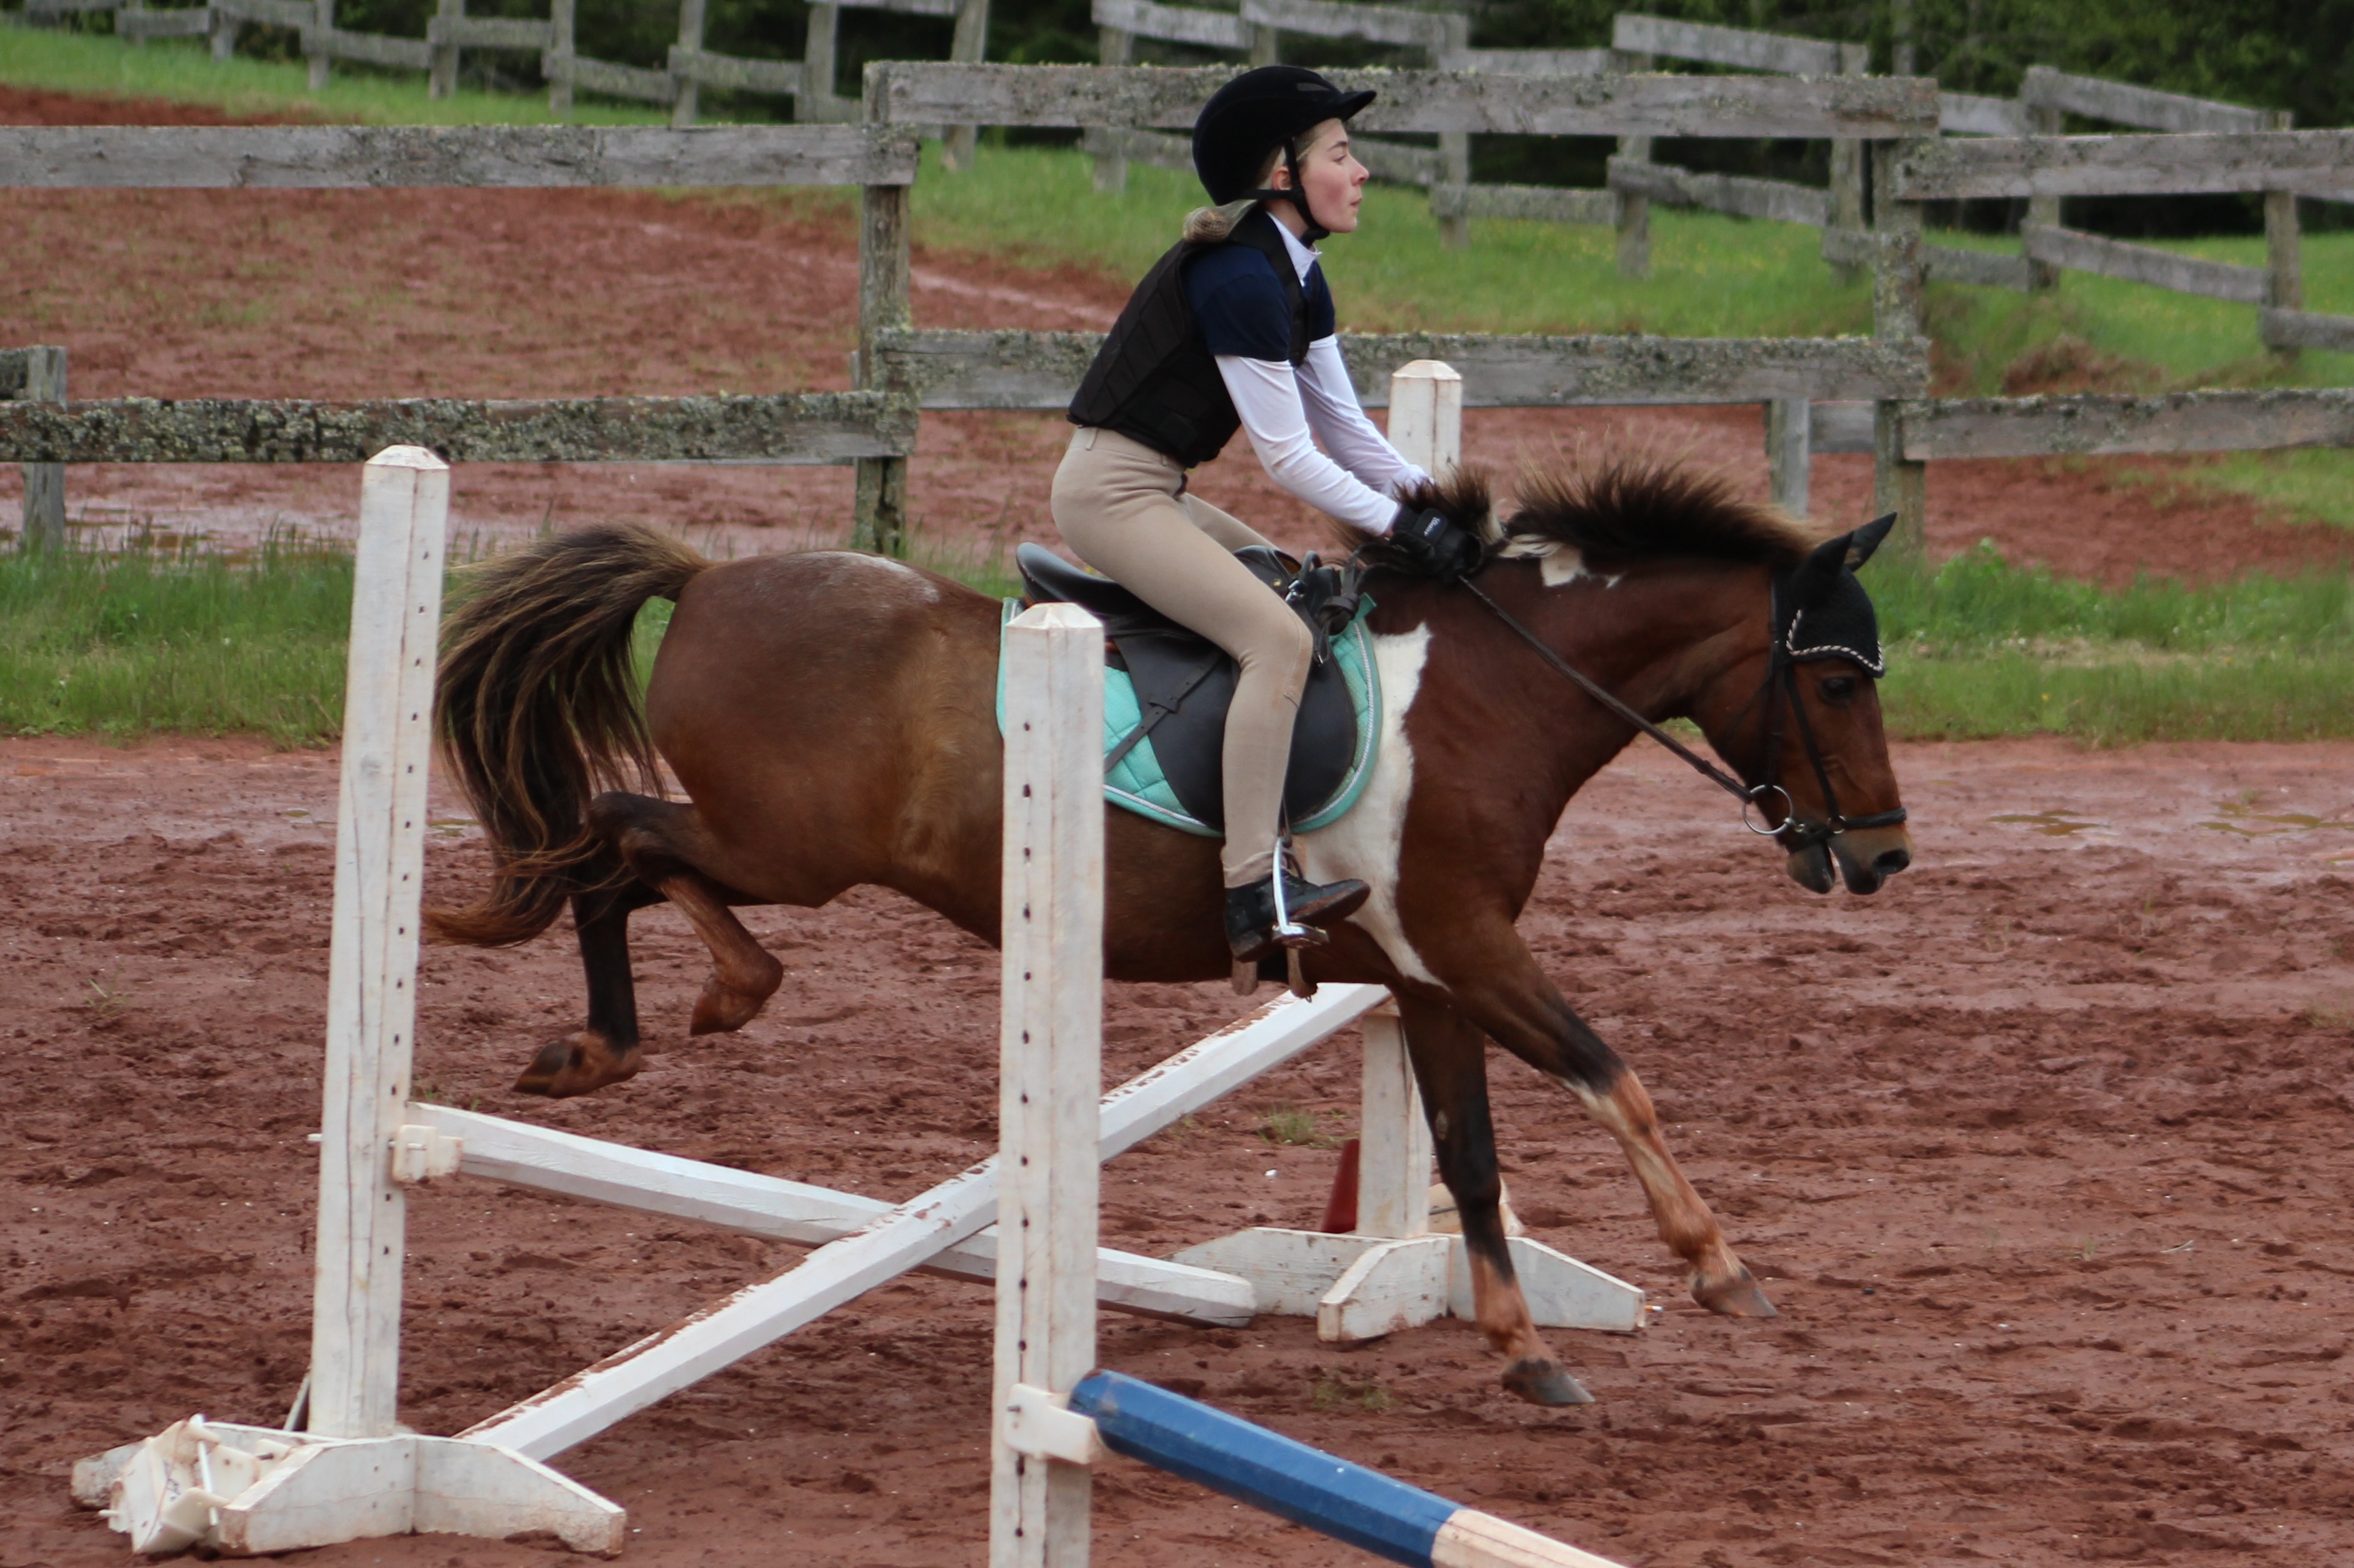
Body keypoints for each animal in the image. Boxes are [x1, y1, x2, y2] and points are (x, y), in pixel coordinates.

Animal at [428, 457, 1913, 1408]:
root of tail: (705, 578)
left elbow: (1475, 1159)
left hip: (779, 846)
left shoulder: (1432, 974)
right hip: (787, 846)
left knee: (618, 857)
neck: (1493, 691)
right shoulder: (1472, 948)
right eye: (1837, 681)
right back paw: (665, 1015)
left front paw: (1522, 1344)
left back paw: (644, 1024)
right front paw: (1718, 1267)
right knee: (611, 836)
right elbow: (1617, 1078)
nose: (1886, 854)